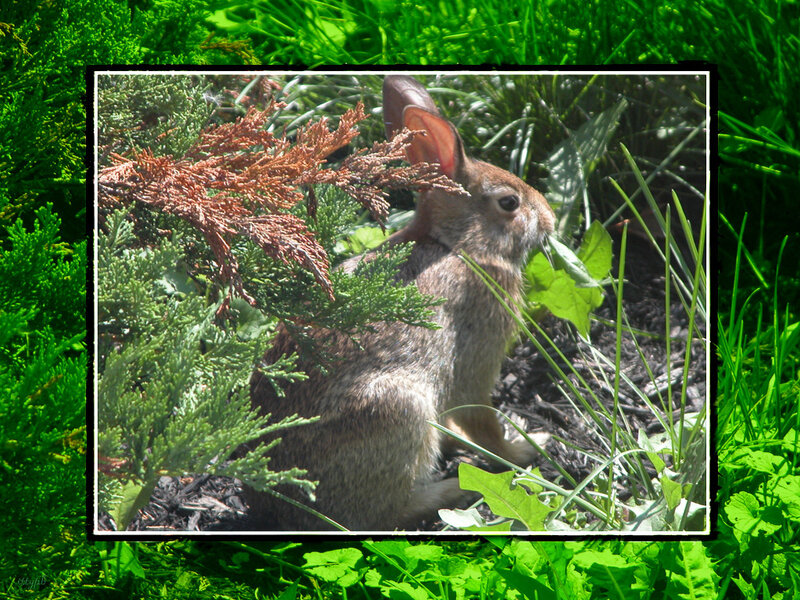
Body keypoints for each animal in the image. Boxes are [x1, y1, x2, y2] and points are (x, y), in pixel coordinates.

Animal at [241, 75, 555, 531]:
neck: (453, 245)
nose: (549, 217)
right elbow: (483, 421)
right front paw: (523, 450)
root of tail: (280, 508)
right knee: (386, 512)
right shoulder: (477, 357)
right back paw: (452, 490)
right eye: (509, 203)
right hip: (400, 410)